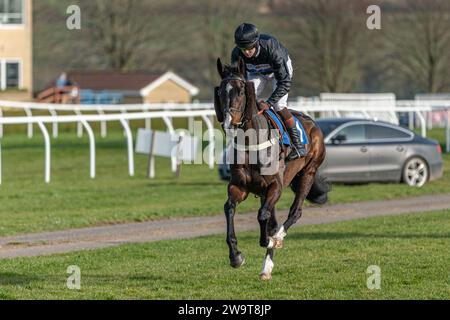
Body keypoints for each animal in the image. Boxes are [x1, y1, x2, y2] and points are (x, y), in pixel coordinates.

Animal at [214, 57, 330, 280]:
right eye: (221, 92)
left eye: (241, 91)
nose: (229, 122)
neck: (251, 142)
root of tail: (312, 123)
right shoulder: (239, 187)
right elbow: (229, 209)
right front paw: (236, 256)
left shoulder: (275, 186)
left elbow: (262, 216)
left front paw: (270, 240)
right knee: (274, 219)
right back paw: (266, 267)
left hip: (308, 173)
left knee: (294, 212)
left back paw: (276, 241)